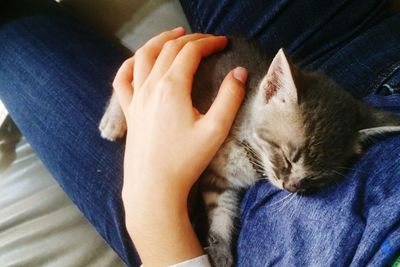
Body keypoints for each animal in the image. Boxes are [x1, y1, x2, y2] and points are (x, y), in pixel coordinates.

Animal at [99, 38, 400, 267]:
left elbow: (223, 211)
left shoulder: (221, 184)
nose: (291, 187)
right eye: (287, 157)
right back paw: (113, 121)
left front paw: (220, 250)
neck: (249, 153)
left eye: (317, 178)